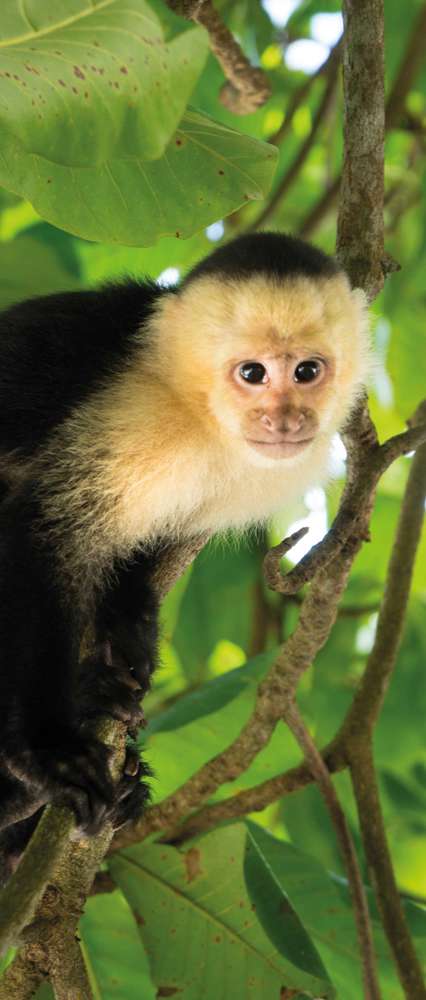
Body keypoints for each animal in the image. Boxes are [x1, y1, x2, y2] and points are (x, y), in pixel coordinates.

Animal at [0, 230, 370, 872]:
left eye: (307, 371)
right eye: (252, 373)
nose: (284, 420)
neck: (200, 414)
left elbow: (143, 551)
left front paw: (123, 646)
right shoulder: (136, 411)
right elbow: (45, 526)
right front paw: (51, 751)